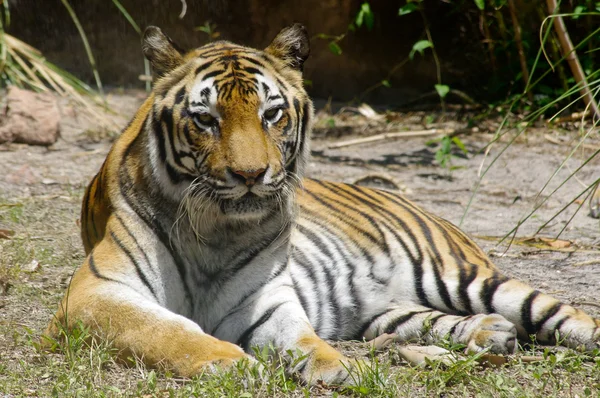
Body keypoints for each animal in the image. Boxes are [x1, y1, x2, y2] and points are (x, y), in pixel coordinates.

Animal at [45, 23, 600, 384]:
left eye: (271, 114)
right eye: (205, 119)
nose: (250, 176)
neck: (215, 230)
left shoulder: (263, 301)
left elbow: (305, 339)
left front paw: (343, 368)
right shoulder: (96, 292)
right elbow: (163, 329)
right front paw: (231, 363)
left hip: (464, 276)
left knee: (562, 314)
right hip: (388, 310)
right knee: (429, 321)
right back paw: (490, 335)